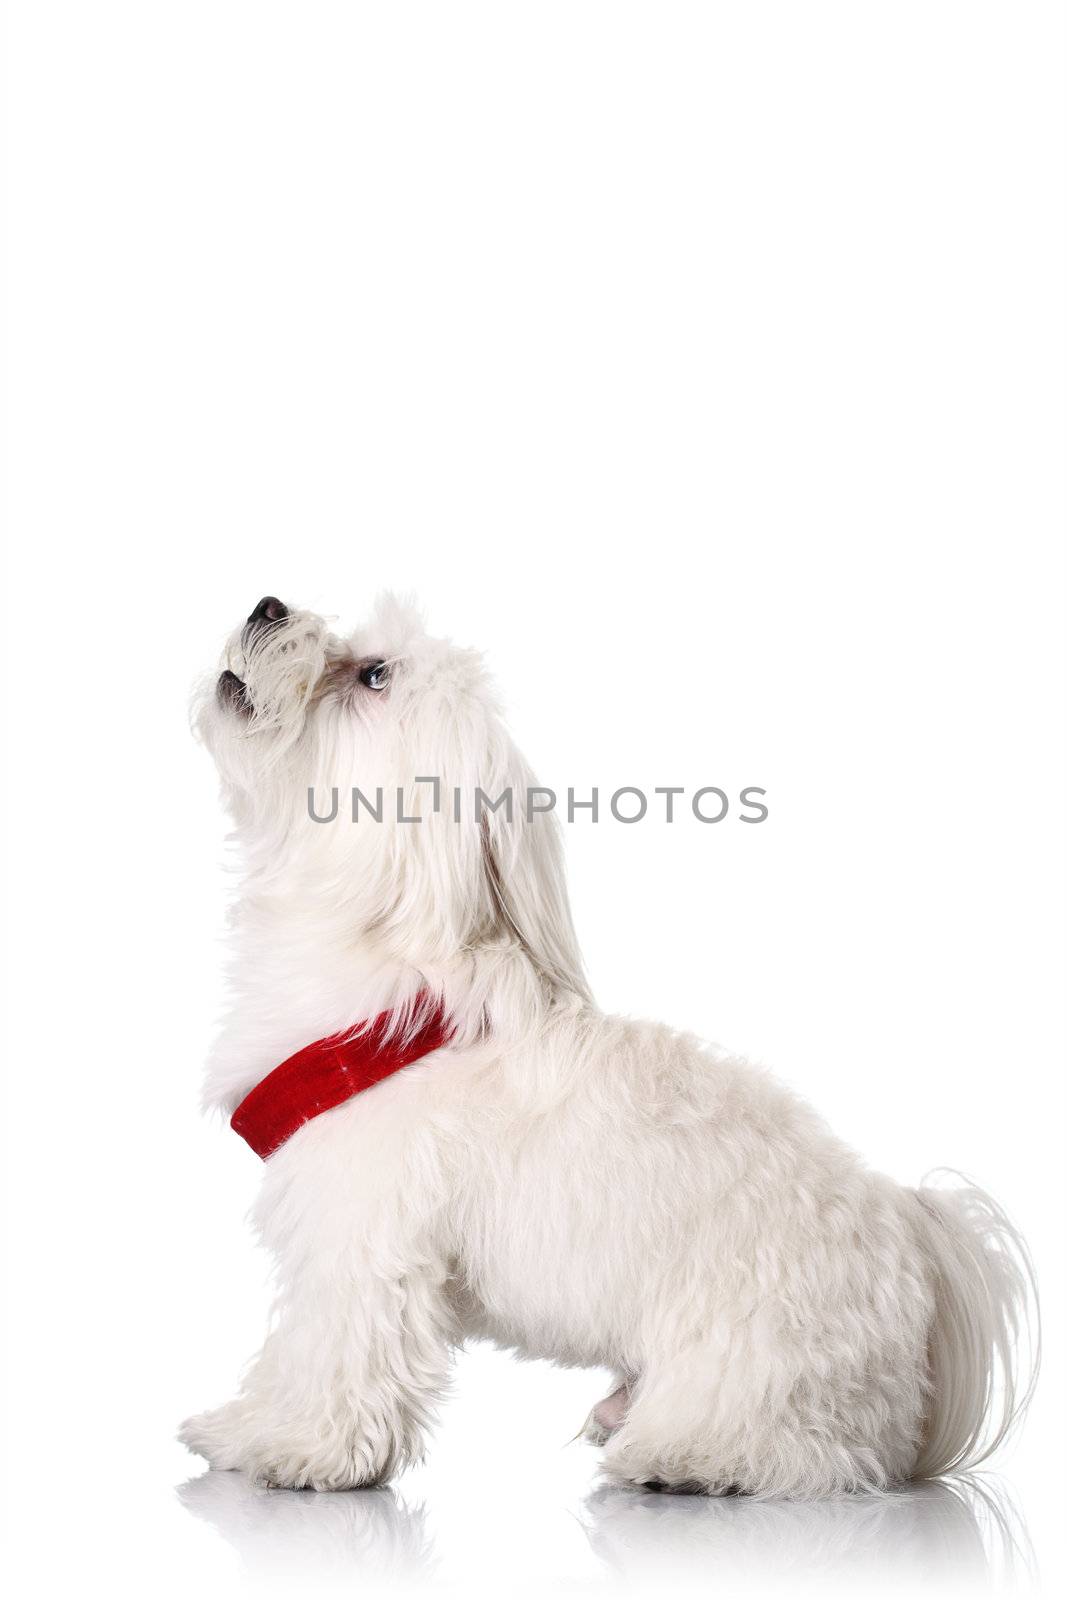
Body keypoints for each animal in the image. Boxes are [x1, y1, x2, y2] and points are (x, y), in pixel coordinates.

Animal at [179, 595, 1036, 1491]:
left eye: (372, 673)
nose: (267, 603)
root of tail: (906, 1232)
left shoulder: (362, 1234)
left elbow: (325, 1355)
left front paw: (285, 1446)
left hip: (760, 1353)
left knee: (811, 1448)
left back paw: (680, 1456)